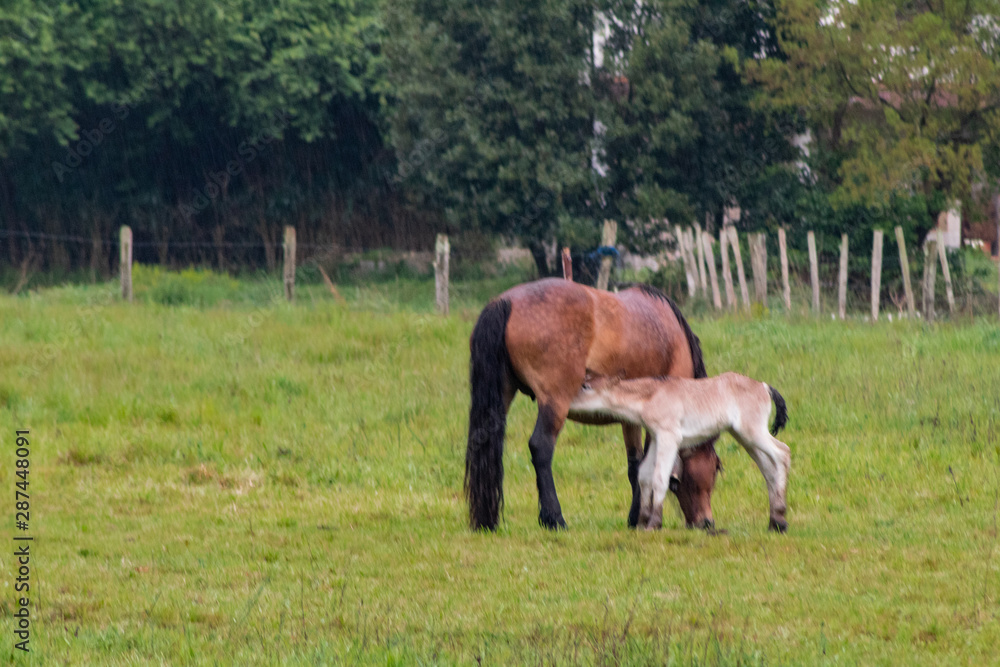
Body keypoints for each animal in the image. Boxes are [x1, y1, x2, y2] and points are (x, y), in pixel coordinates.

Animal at [464, 278, 722, 531]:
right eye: (713, 470)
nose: (707, 522)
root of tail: (506, 301)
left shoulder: (631, 418)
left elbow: (635, 465)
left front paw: (635, 517)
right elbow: (651, 465)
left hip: (502, 397)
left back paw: (486, 521)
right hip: (555, 402)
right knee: (541, 448)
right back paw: (554, 519)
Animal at [572, 371, 791, 532]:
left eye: (586, 387)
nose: (569, 403)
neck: (651, 395)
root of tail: (763, 386)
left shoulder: (669, 437)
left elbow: (660, 477)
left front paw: (653, 524)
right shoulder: (656, 437)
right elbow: (645, 476)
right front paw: (642, 522)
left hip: (752, 431)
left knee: (782, 453)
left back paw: (780, 517)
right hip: (743, 436)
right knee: (767, 468)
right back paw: (775, 522)